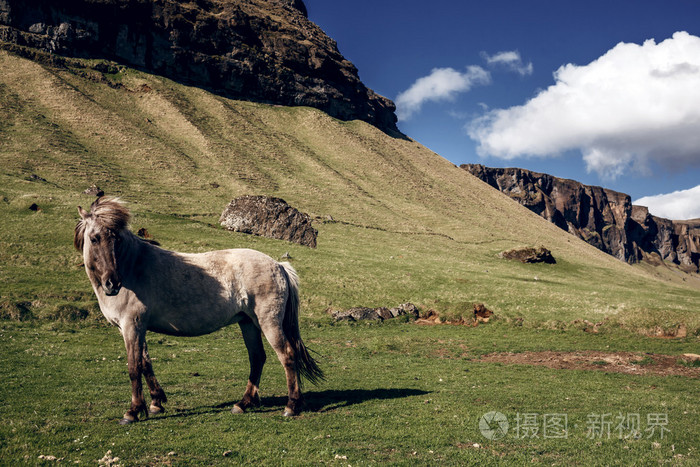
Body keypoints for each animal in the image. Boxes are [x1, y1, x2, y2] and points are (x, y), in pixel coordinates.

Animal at [74, 197, 322, 424]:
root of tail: (279, 265)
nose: (112, 284)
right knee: (257, 358)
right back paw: (243, 403)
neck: (133, 267)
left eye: (117, 239)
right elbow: (145, 363)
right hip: (248, 323)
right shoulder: (133, 328)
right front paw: (156, 403)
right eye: (94, 238)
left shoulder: (132, 326)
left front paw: (133, 411)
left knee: (287, 355)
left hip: (268, 323)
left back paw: (291, 406)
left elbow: (134, 367)